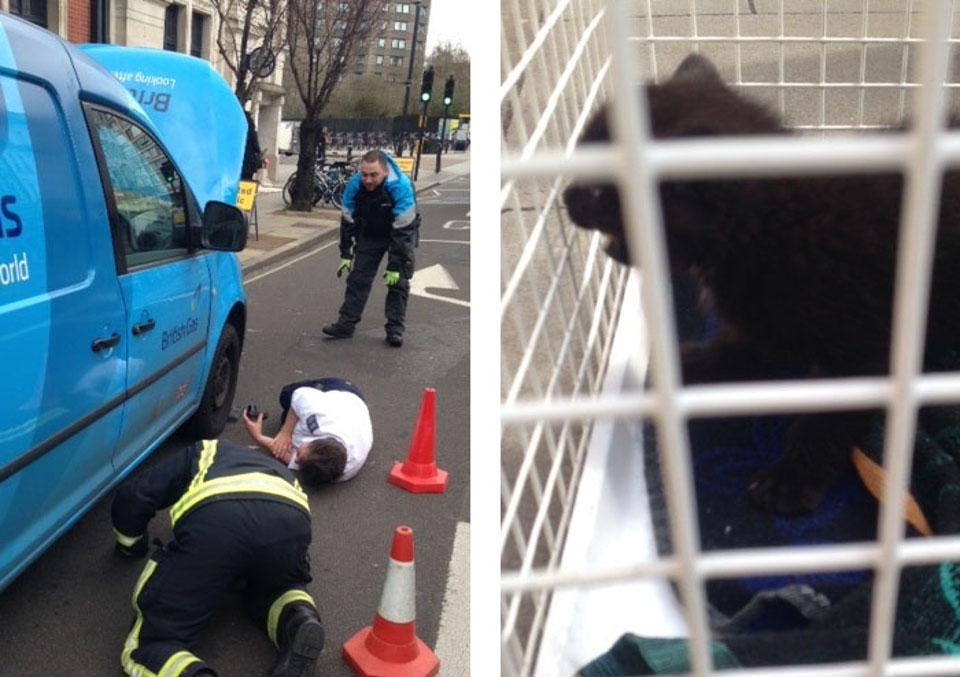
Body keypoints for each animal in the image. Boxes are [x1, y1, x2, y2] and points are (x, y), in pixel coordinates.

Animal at [560, 54, 960, 516]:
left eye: (597, 190)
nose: (565, 195)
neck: (770, 228)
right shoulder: (762, 313)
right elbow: (743, 341)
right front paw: (692, 362)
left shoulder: (865, 349)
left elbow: (825, 417)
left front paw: (792, 479)